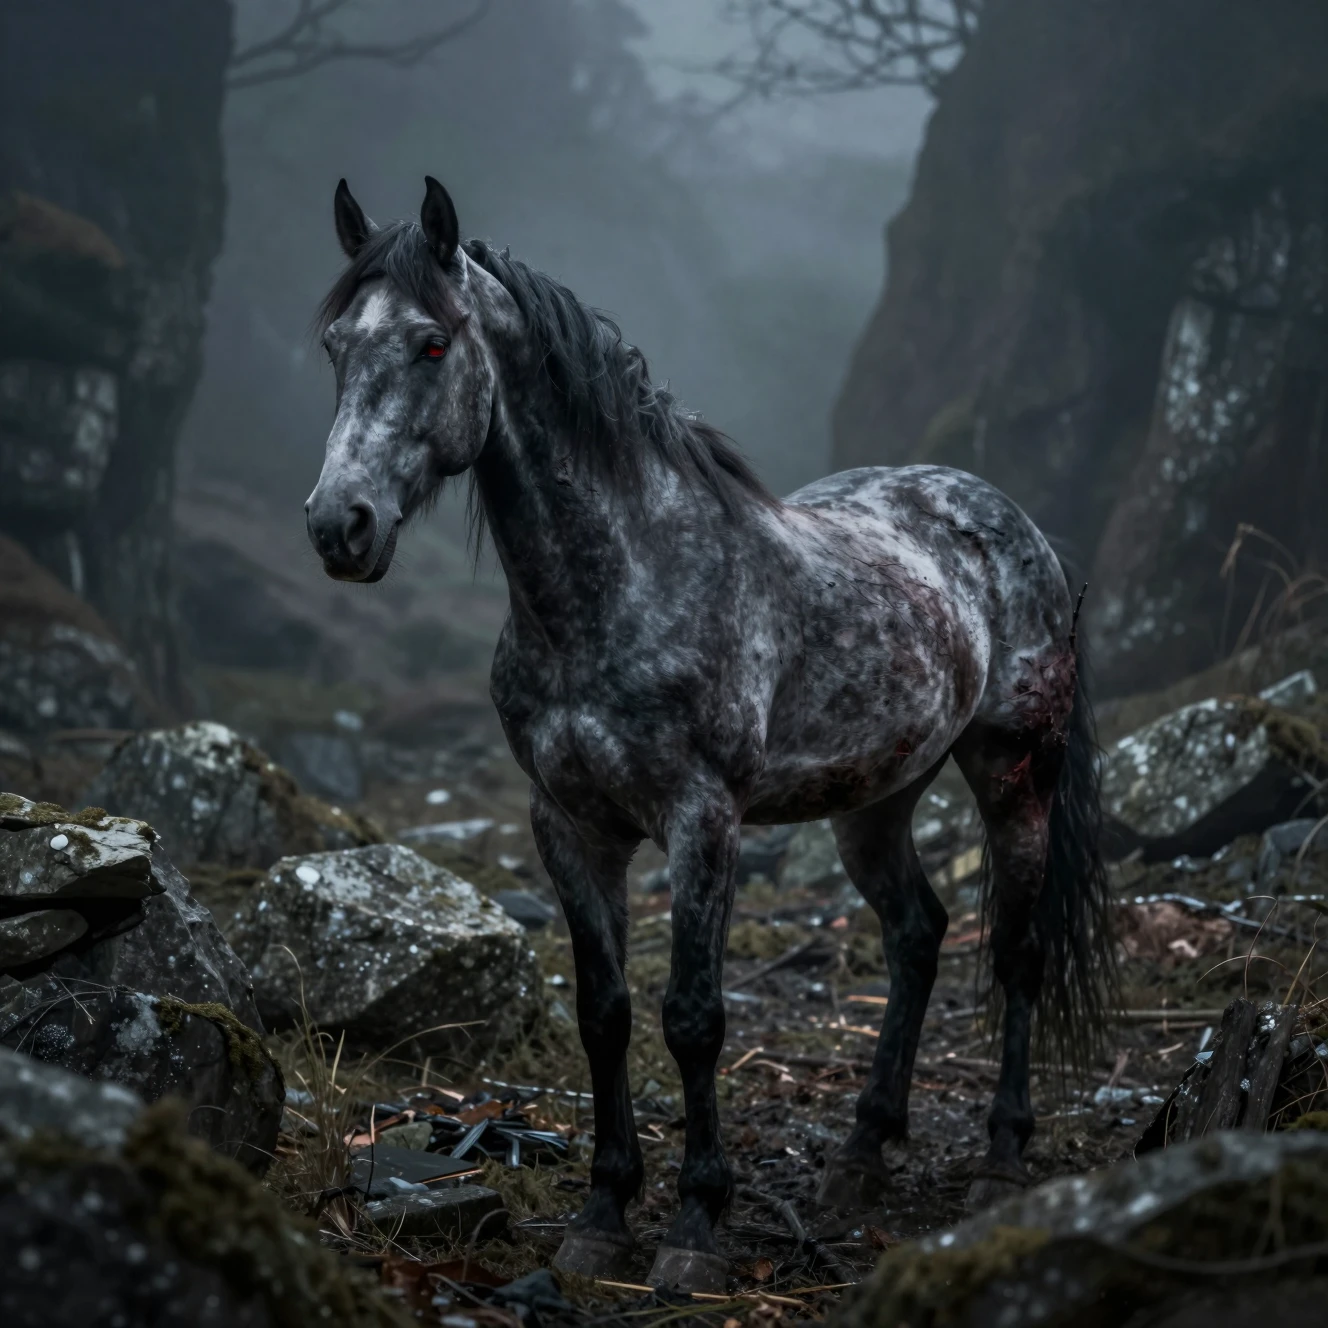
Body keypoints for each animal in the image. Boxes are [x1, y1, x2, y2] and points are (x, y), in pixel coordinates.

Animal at [305, 177, 1115, 1293]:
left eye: (432, 343)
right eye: (336, 344)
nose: (337, 526)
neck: (615, 586)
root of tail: (1005, 520)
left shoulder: (702, 821)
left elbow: (693, 1018)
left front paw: (694, 1226)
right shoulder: (568, 825)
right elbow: (603, 1013)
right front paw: (602, 1213)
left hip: (1012, 772)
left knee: (1019, 952)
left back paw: (999, 1159)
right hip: (875, 799)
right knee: (916, 932)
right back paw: (860, 1155)